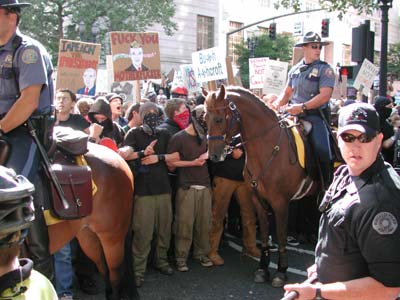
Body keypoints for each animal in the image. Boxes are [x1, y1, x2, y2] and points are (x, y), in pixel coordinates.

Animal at [205, 85, 318, 288]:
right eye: (204, 119)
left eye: (218, 119)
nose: (213, 156)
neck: (269, 147)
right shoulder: (257, 199)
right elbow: (264, 233)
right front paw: (263, 268)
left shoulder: (280, 203)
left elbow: (280, 235)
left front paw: (281, 271)